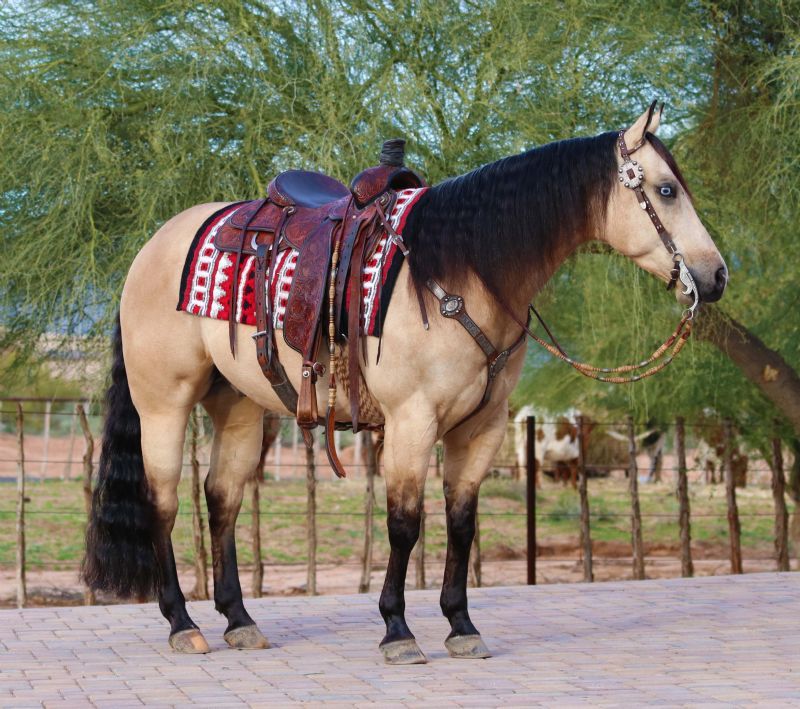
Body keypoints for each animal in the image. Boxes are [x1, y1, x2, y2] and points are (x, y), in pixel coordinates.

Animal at [82, 105, 727, 664]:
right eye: (666, 190)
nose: (715, 276)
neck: (461, 272)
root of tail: (151, 247)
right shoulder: (412, 420)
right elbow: (404, 524)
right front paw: (397, 630)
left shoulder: (482, 429)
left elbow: (462, 524)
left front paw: (462, 626)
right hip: (164, 404)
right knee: (163, 502)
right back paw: (182, 624)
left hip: (239, 407)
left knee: (222, 500)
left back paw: (239, 620)